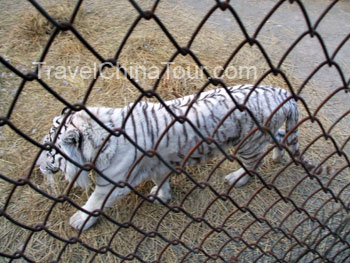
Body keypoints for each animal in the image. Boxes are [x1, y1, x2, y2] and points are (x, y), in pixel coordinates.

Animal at [35, 84, 330, 231]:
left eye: (49, 148)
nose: (38, 167)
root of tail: (283, 92)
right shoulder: (156, 162)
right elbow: (161, 181)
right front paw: (161, 195)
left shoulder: (114, 182)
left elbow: (95, 201)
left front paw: (79, 221)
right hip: (264, 133)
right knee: (280, 137)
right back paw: (279, 158)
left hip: (247, 144)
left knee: (253, 163)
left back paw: (237, 177)